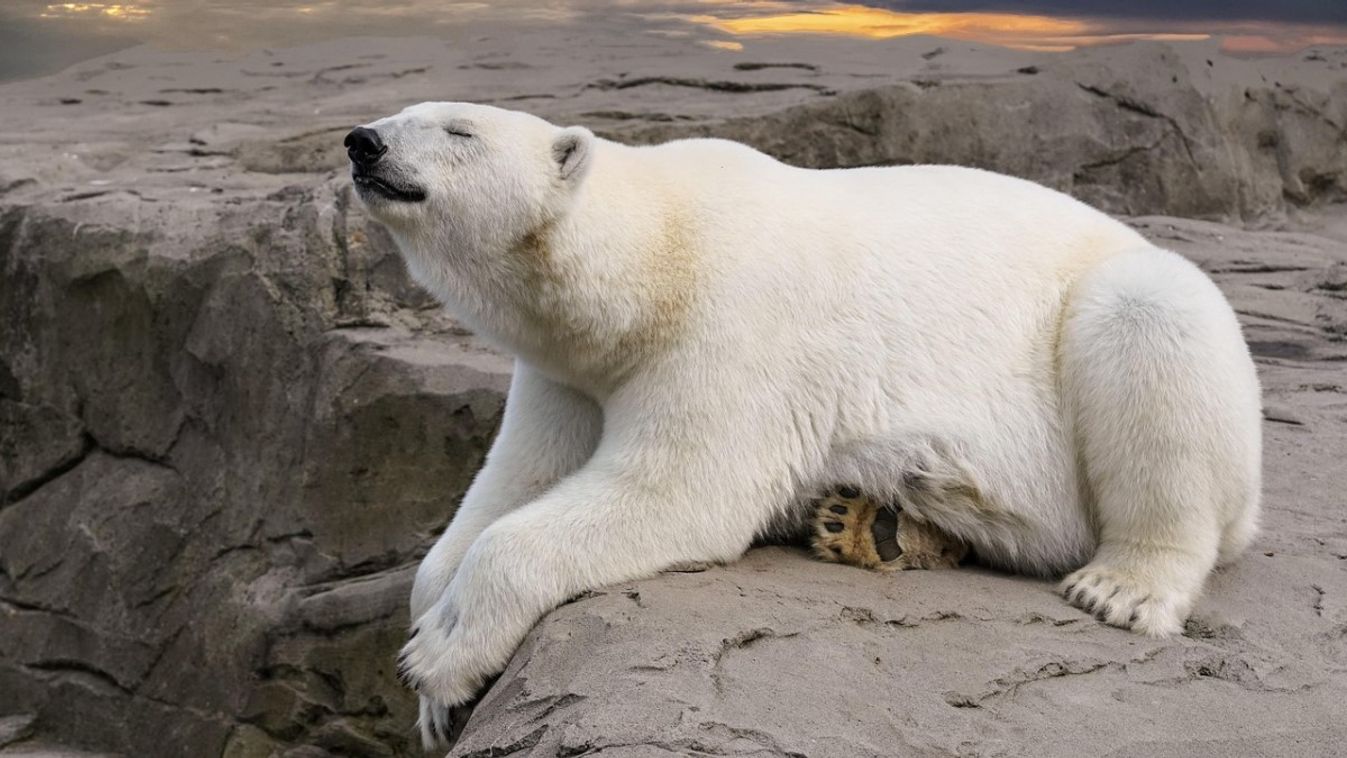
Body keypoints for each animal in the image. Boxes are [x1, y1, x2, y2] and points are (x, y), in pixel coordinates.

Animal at [344, 103, 1260, 748]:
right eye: (406, 111)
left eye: (458, 129)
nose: (363, 143)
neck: (654, 256)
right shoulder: (567, 371)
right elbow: (515, 481)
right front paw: (434, 680)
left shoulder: (735, 321)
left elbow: (677, 491)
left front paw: (440, 655)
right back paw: (871, 520)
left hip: (1122, 328)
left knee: (1148, 325)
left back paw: (1122, 585)